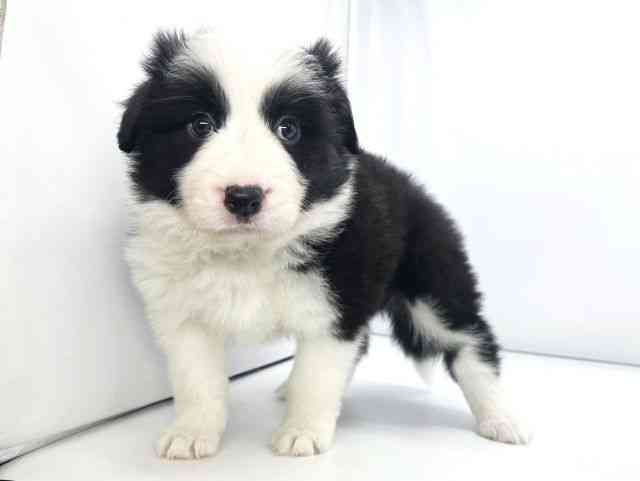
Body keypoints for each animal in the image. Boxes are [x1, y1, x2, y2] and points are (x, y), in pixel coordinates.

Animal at [118, 29, 529, 459]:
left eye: (288, 130)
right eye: (200, 125)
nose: (244, 197)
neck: (246, 254)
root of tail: (411, 184)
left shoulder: (336, 310)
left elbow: (315, 377)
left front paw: (302, 432)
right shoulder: (183, 317)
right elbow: (196, 381)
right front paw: (191, 432)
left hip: (433, 283)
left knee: (472, 341)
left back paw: (500, 418)